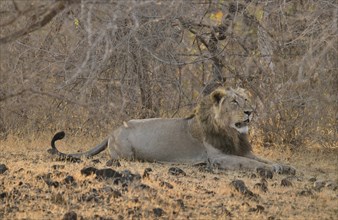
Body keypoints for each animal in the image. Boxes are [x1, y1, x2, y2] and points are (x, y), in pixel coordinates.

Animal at [48, 87, 296, 174]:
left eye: (245, 99)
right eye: (234, 102)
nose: (250, 112)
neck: (233, 133)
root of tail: (112, 131)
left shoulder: (243, 150)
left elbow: (262, 158)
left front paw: (284, 165)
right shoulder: (219, 158)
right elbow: (250, 164)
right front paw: (273, 169)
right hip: (127, 153)